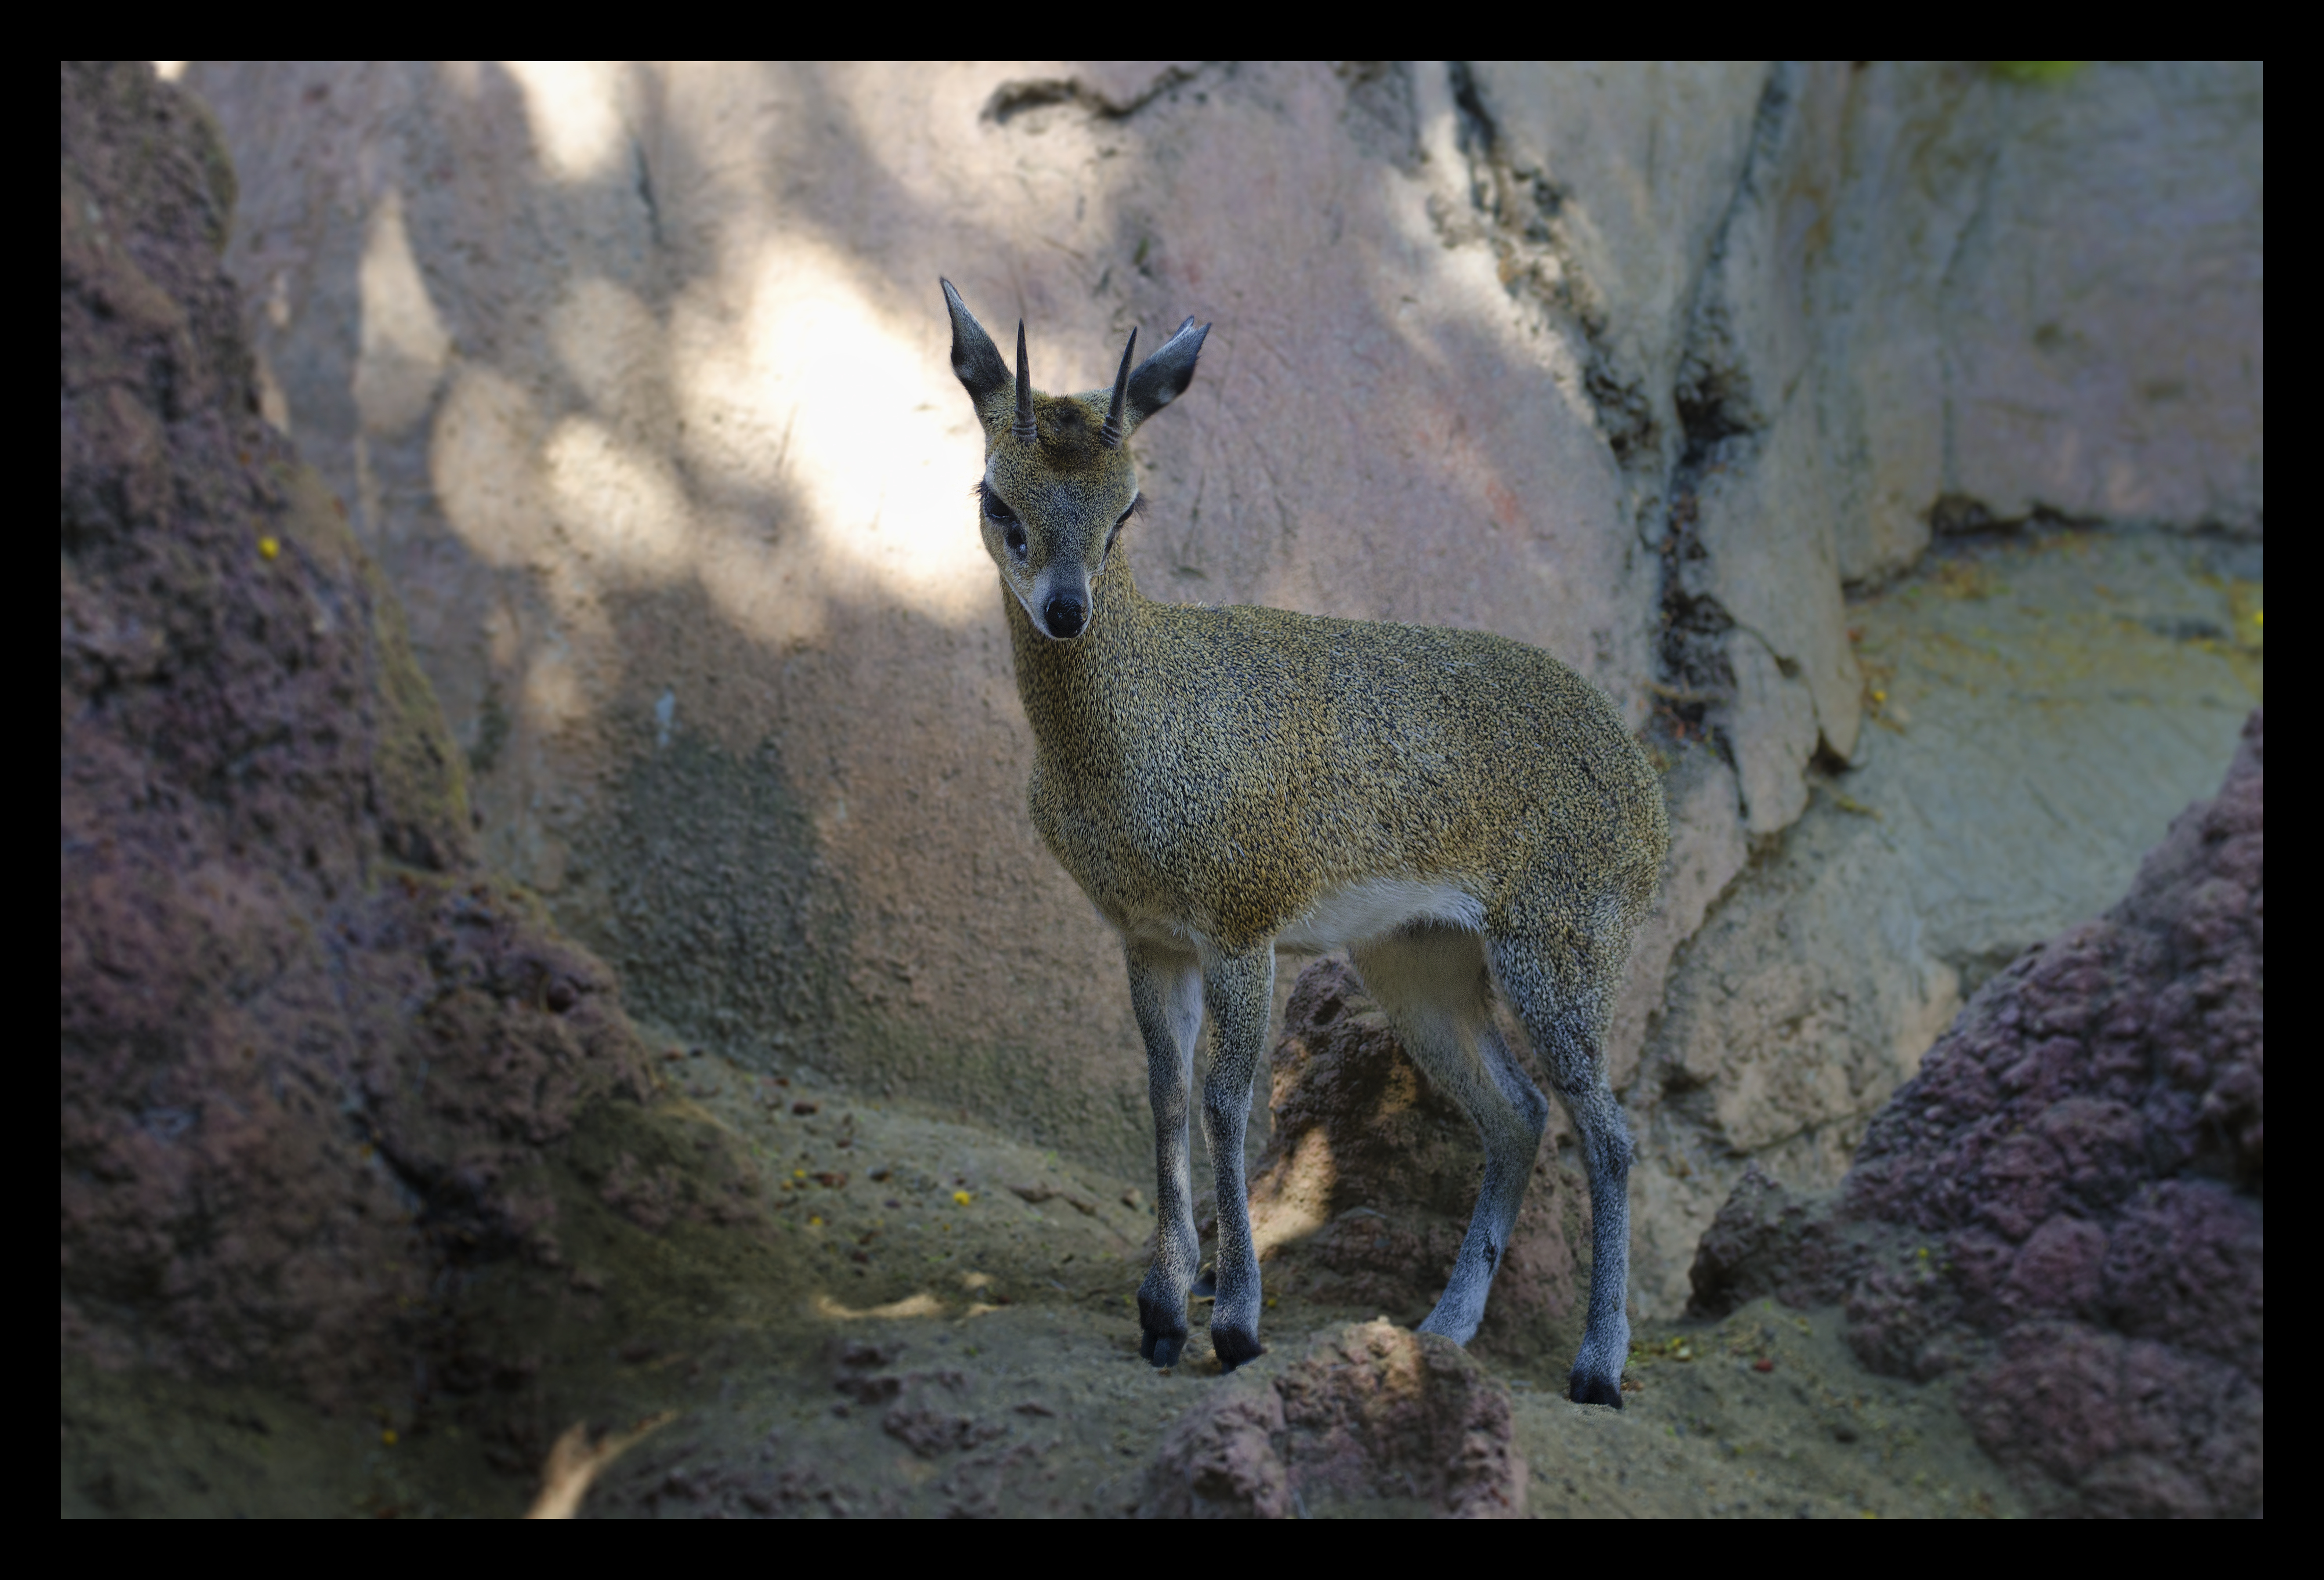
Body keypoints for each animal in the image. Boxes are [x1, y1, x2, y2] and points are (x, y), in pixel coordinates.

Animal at [938, 280, 1668, 1406]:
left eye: (1127, 507)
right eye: (997, 499)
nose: (1066, 610)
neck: (1136, 736)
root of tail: (1646, 788)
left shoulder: (1244, 925)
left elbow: (1229, 1099)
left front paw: (1234, 1321)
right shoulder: (1149, 936)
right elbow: (1164, 1095)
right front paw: (1161, 1311)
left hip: (1561, 947)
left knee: (1612, 1129)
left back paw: (1597, 1366)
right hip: (1418, 957)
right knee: (1515, 1111)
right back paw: (1443, 1329)